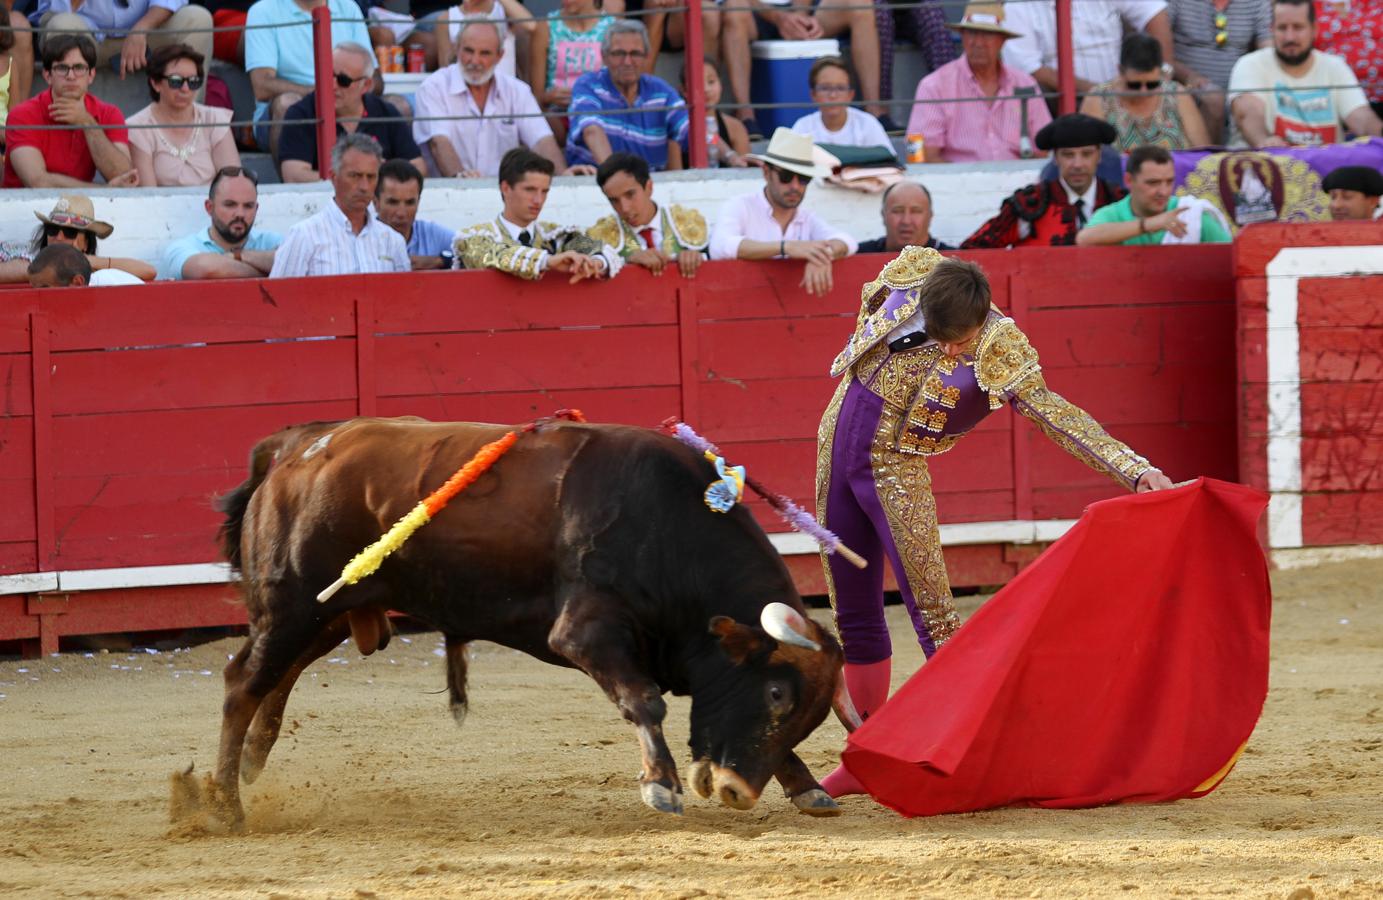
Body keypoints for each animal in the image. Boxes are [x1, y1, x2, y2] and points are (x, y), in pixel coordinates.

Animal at [197, 414, 851, 829]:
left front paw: (808, 788)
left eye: (813, 714)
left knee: (278, 675)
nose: (738, 793)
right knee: (242, 682)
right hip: (294, 604)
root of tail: (297, 445)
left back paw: (252, 762)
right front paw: (660, 786)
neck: (667, 523)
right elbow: (643, 699)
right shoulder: (588, 632)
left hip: (328, 612)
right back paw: (223, 807)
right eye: (775, 694)